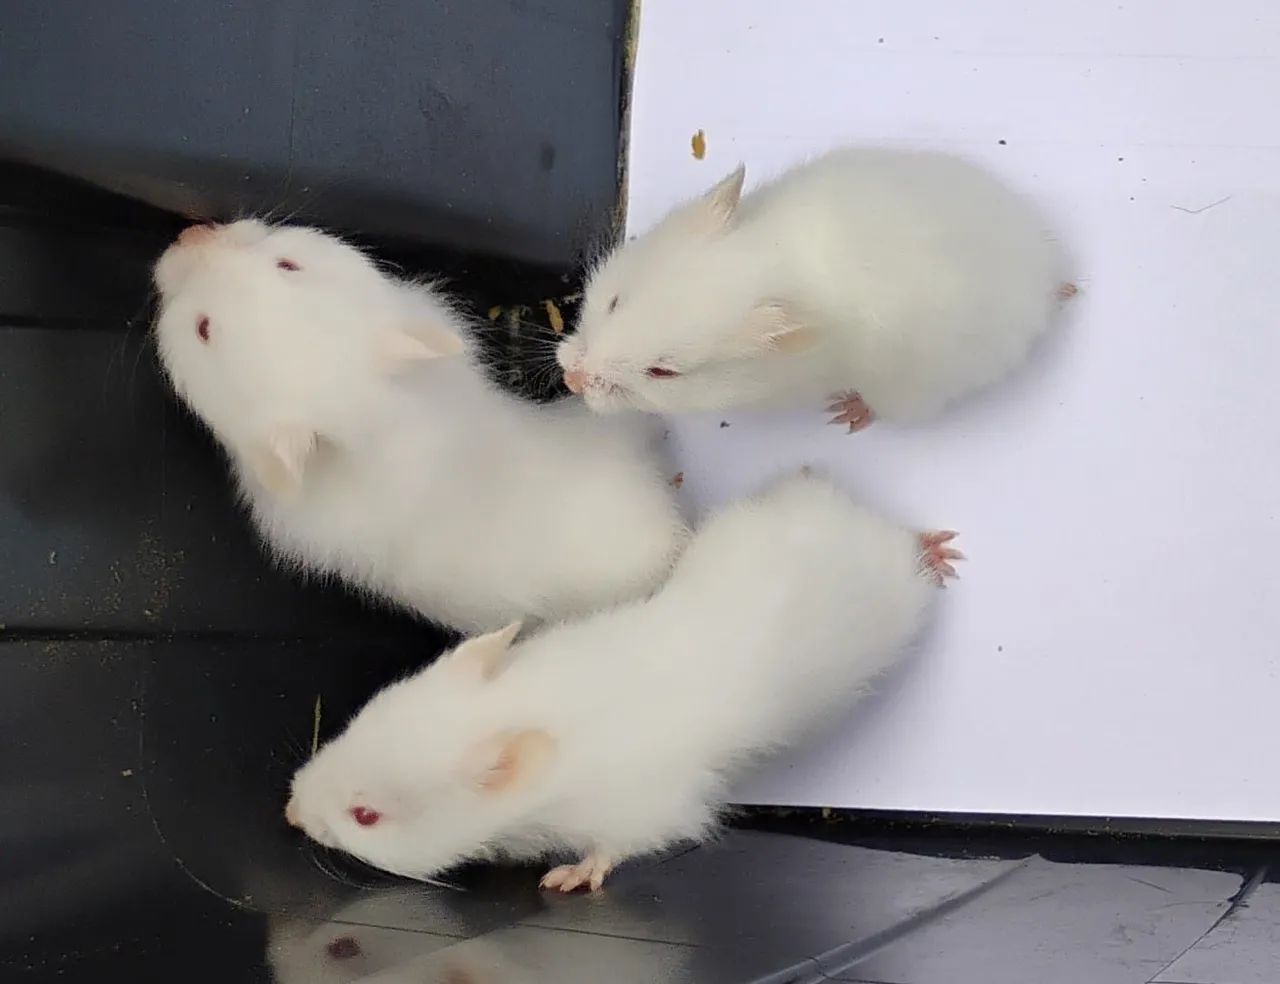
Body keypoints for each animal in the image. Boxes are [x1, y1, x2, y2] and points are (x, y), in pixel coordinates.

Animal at [285, 471, 960, 891]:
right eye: (351, 726)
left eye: (366, 816)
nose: (290, 813)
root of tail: (850, 510)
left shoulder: (645, 811)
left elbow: (612, 848)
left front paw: (566, 879)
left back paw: (941, 550)